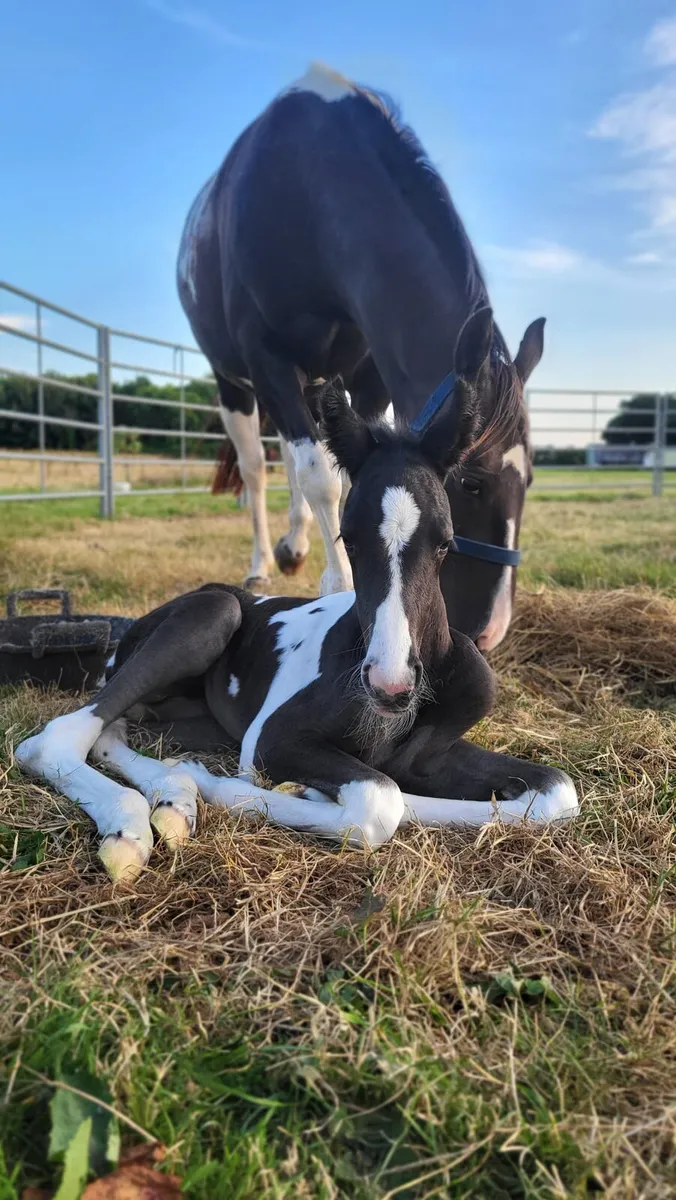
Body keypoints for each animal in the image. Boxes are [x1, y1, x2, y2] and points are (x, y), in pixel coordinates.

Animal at [14, 311, 577, 883]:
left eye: (445, 541)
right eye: (348, 537)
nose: (390, 686)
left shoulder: (429, 757)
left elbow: (556, 792)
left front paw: (300, 791)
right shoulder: (272, 736)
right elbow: (381, 801)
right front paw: (247, 787)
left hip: (192, 721)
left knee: (113, 733)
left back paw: (174, 801)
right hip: (211, 614)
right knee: (53, 738)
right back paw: (132, 826)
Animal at [177, 62, 544, 651]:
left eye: (529, 482)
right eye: (471, 482)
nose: (489, 631)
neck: (308, 188)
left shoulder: (368, 377)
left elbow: (349, 474)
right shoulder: (268, 359)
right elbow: (321, 478)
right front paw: (338, 585)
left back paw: (293, 546)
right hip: (236, 384)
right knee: (257, 470)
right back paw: (262, 562)